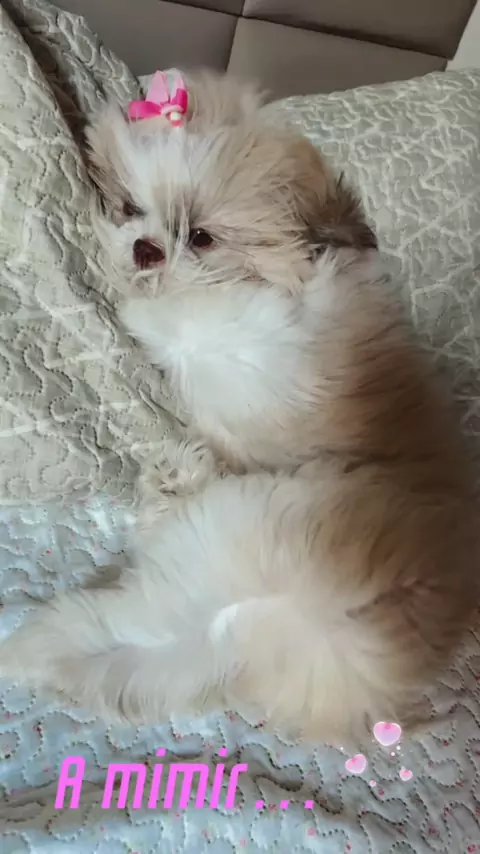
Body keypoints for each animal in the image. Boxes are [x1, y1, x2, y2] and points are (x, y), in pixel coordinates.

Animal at [1, 71, 477, 744]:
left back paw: (177, 473)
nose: (146, 248)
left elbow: (161, 320)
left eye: (200, 236)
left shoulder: (213, 327)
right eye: (130, 207)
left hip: (243, 514)